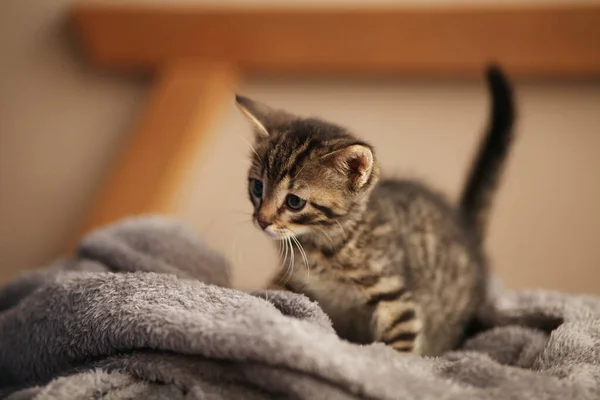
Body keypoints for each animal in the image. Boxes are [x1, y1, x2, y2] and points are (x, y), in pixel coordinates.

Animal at [234, 66, 516, 356]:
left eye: (294, 202)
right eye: (257, 187)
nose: (262, 220)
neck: (321, 244)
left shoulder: (396, 299)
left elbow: (397, 350)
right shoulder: (291, 280)